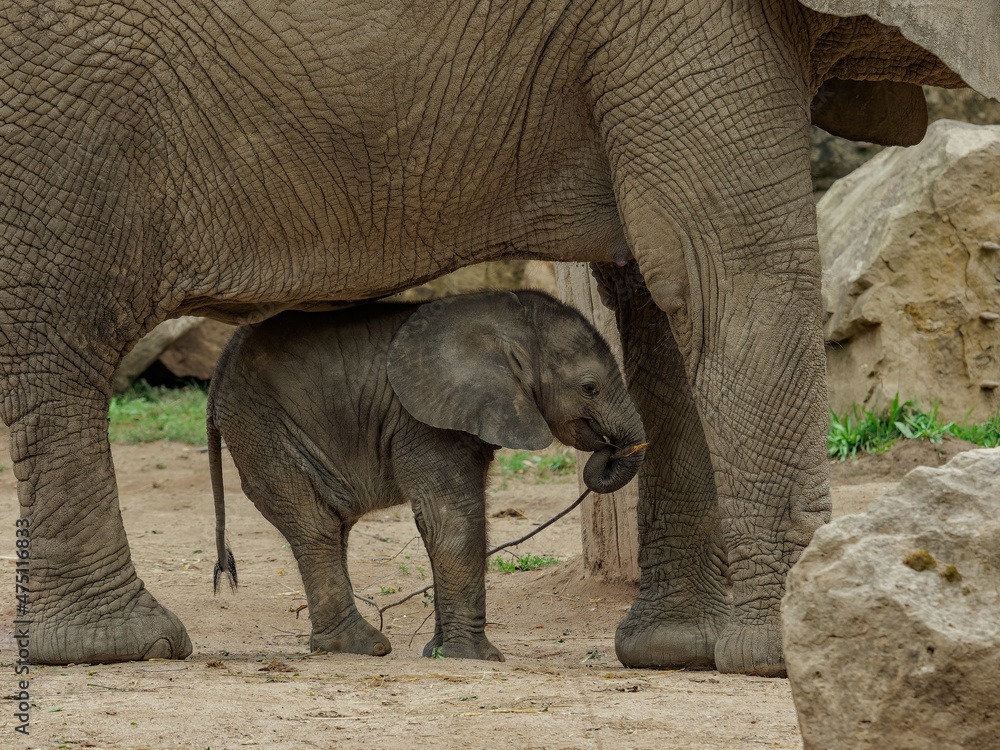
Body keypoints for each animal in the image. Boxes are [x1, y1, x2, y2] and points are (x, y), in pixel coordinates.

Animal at [206, 290, 646, 660]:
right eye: (589, 387)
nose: (609, 448)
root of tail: (214, 382)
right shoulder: (421, 421)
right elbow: (451, 518)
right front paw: (477, 658)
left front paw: (439, 653)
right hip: (262, 429)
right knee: (317, 524)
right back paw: (364, 647)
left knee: (334, 524)